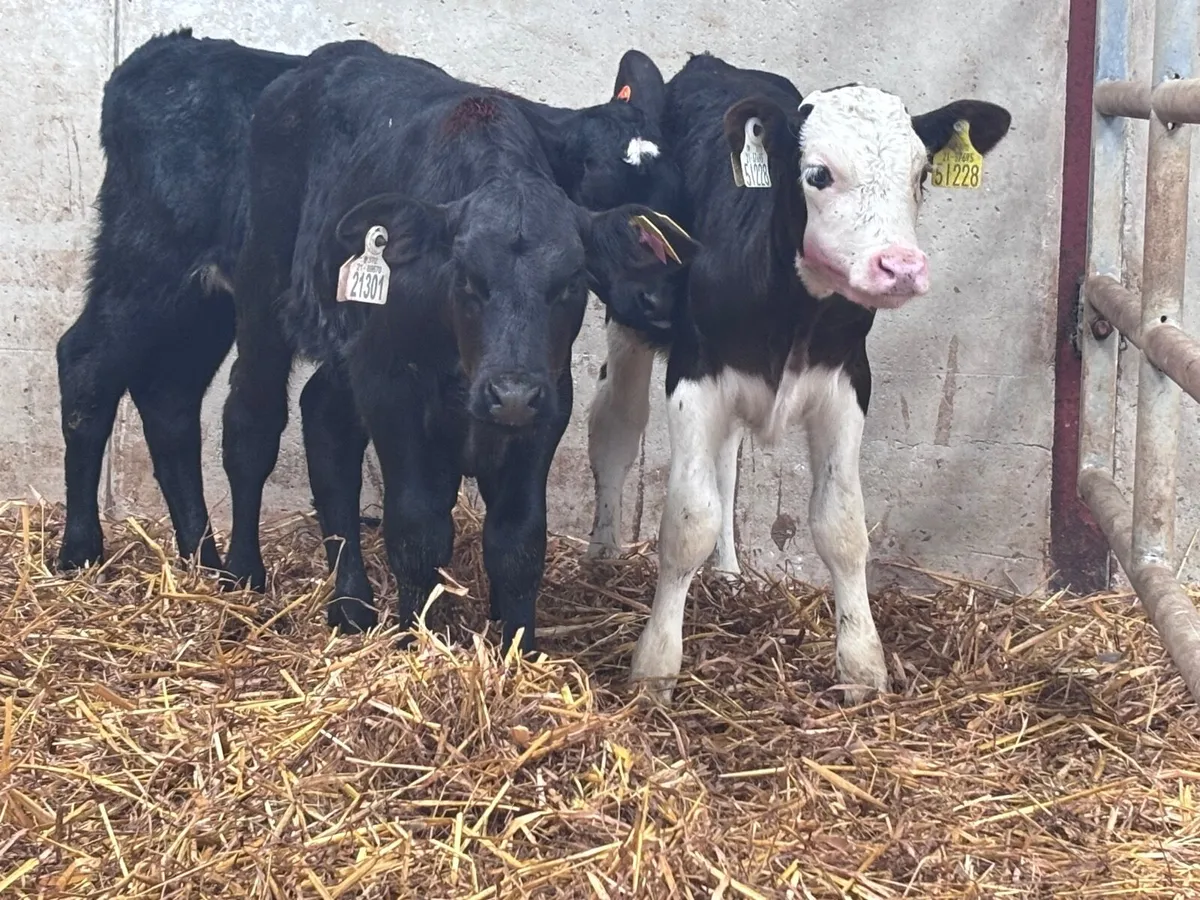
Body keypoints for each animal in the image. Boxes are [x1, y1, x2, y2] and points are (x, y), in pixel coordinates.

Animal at [218, 41, 697, 653]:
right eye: (466, 277)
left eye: (570, 281)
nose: (662, 296)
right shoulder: (392, 388)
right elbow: (417, 527)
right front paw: (412, 641)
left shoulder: (547, 398)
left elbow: (518, 543)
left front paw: (520, 649)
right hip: (264, 286)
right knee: (252, 421)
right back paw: (241, 572)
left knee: (324, 419)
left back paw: (351, 603)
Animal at [585, 53, 1011, 702]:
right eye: (818, 174)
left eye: (921, 177)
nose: (901, 267)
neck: (795, 310)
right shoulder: (695, 374)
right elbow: (687, 520)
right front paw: (655, 668)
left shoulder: (847, 382)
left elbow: (841, 524)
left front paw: (862, 668)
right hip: (629, 320)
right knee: (616, 429)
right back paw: (604, 554)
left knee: (727, 464)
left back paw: (728, 574)